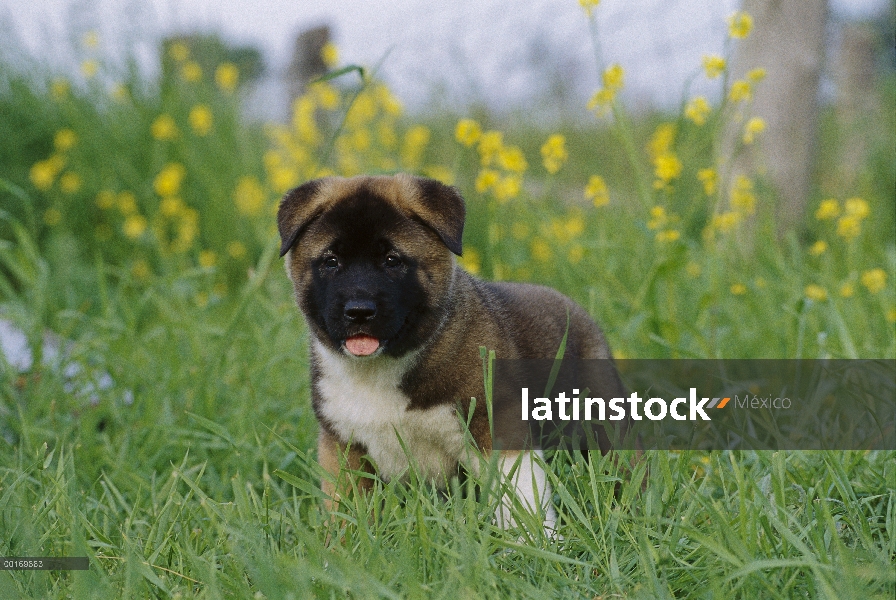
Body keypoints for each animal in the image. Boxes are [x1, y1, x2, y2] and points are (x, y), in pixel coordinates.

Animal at [276, 172, 620, 528]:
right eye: (331, 262)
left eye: (392, 261)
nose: (358, 311)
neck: (384, 367)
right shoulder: (343, 446)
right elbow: (346, 511)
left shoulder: (500, 428)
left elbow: (522, 500)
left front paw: (537, 539)